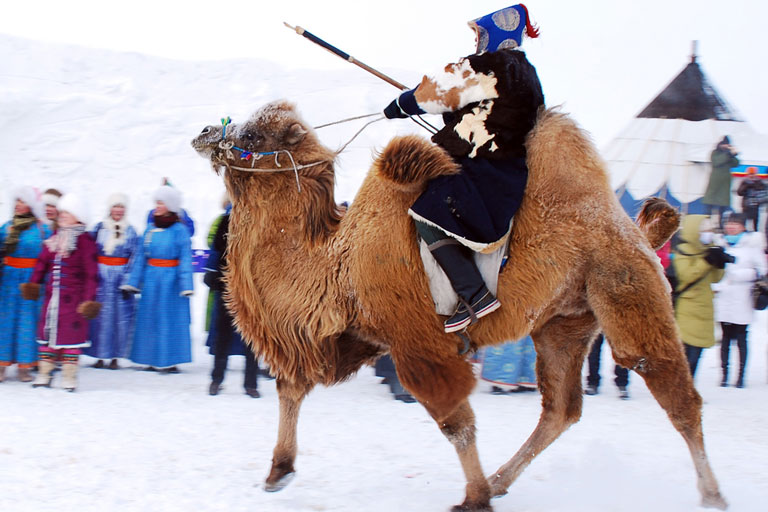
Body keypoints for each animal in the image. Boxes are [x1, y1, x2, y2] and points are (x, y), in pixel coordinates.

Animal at [190, 101, 728, 512]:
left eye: (254, 133)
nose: (204, 132)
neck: (339, 264)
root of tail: (638, 230)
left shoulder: (415, 341)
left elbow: (456, 422)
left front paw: (473, 499)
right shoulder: (354, 337)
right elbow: (292, 387)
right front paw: (277, 473)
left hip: (625, 289)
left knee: (675, 394)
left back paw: (712, 495)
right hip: (565, 322)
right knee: (561, 408)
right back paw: (502, 479)